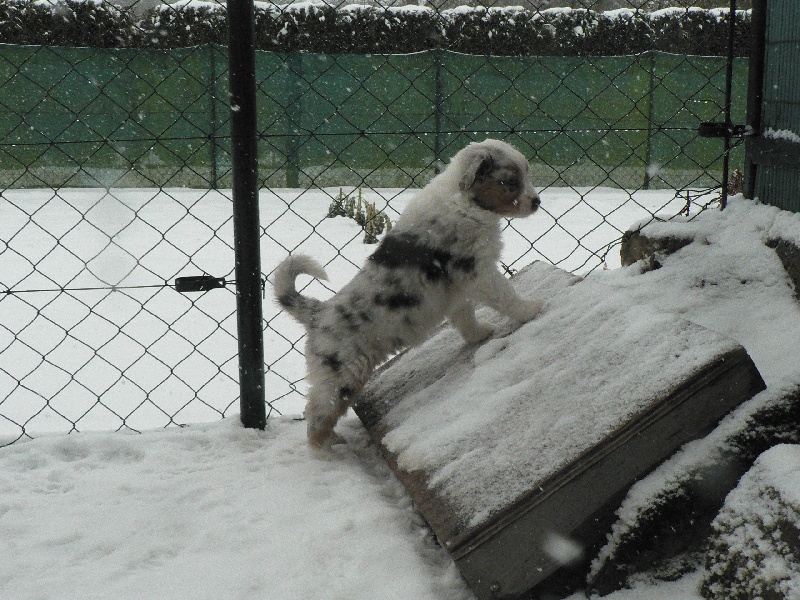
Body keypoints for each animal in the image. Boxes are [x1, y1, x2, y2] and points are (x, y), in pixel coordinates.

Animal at [274, 139, 545, 448]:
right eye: (510, 182)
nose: (537, 202)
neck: (464, 203)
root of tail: (317, 313)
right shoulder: (478, 273)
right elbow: (506, 295)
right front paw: (531, 308)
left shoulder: (458, 290)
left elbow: (465, 317)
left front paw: (479, 335)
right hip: (341, 376)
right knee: (317, 418)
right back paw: (329, 449)